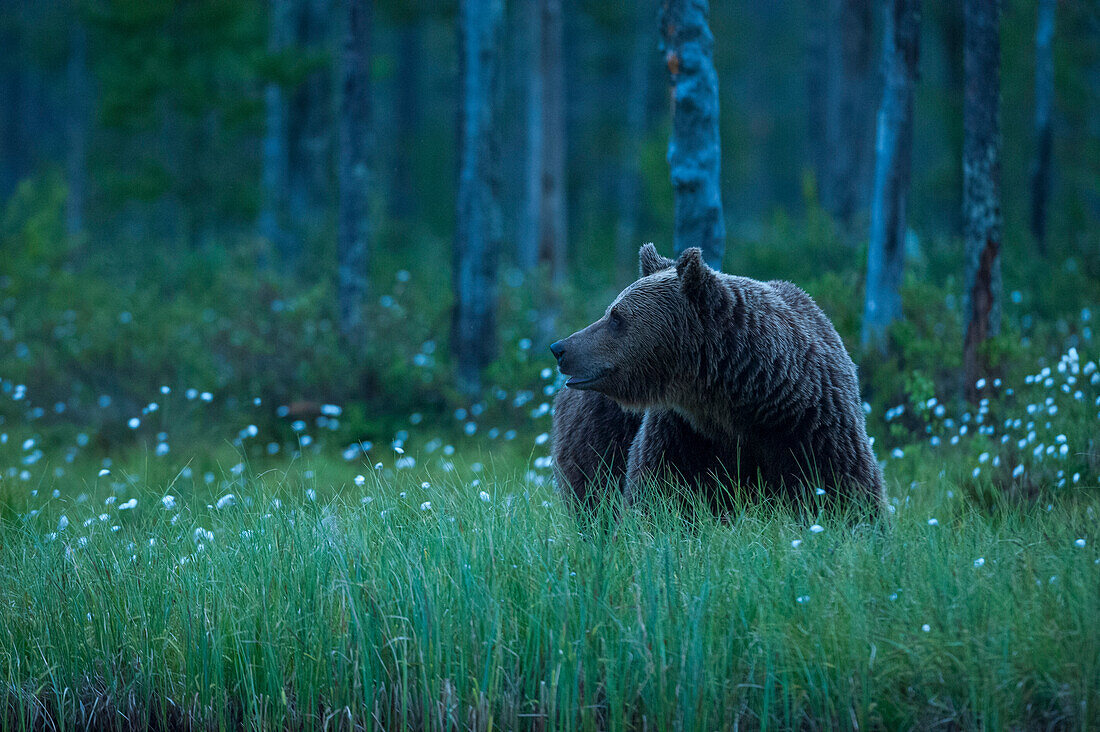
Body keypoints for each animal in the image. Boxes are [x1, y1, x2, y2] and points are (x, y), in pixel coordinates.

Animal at [550, 242, 884, 510]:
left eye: (616, 317)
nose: (560, 348)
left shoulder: (813, 427)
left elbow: (846, 492)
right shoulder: (683, 432)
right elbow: (658, 495)